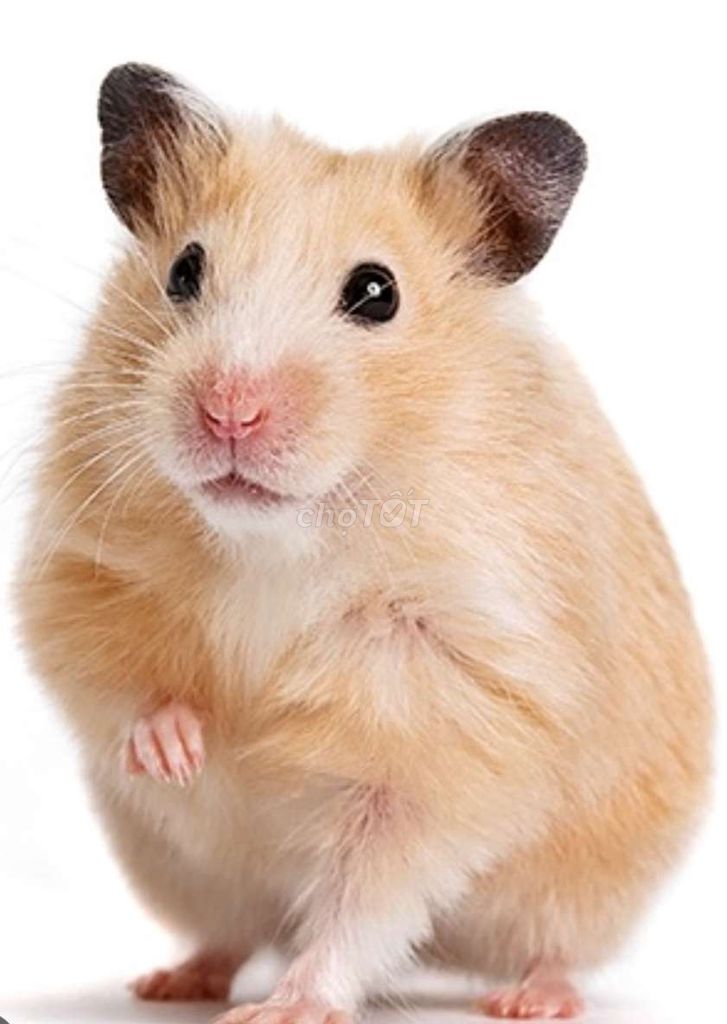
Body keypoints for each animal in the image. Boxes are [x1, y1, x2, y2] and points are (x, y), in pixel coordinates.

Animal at [15, 63, 712, 1023]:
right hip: (184, 872)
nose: (228, 412)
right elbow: (117, 681)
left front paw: (288, 1009)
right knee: (231, 930)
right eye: (184, 270)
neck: (279, 539)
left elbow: (365, 893)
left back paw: (529, 999)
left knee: (551, 947)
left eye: (376, 293)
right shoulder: (80, 567)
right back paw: (171, 982)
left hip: (586, 887)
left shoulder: (446, 718)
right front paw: (181, 753)